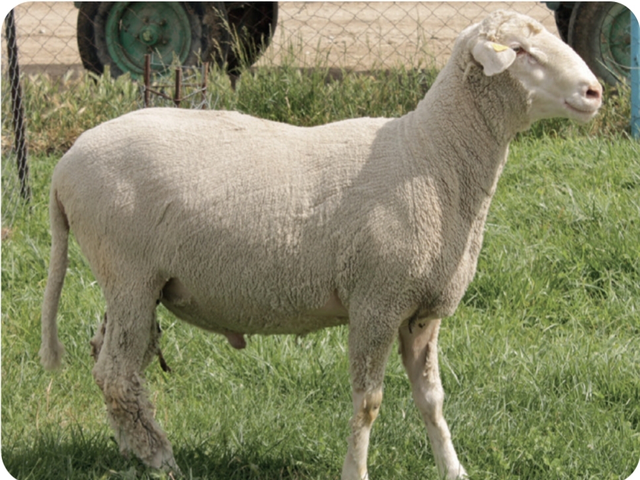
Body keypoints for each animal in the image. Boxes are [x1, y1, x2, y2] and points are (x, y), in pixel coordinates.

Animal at [40, 10, 602, 480]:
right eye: (520, 52)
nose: (595, 91)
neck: (432, 157)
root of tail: (64, 168)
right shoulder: (376, 301)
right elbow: (368, 402)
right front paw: (356, 471)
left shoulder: (422, 311)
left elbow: (433, 400)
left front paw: (454, 470)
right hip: (129, 271)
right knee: (117, 373)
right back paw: (161, 459)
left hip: (130, 281)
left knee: (109, 358)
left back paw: (132, 448)